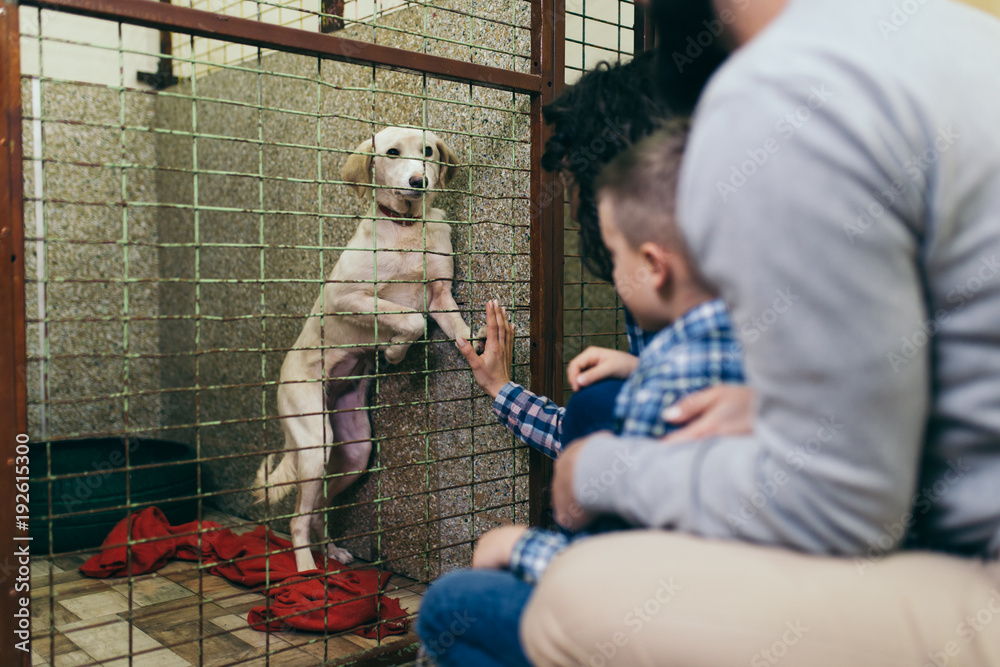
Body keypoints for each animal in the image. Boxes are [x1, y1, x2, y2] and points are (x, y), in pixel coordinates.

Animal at [250, 128, 484, 572]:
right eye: (392, 153)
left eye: (427, 152)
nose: (418, 181)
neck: (406, 227)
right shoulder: (347, 297)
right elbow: (410, 320)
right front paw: (393, 353)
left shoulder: (440, 295)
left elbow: (455, 328)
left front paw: (479, 350)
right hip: (315, 442)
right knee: (297, 520)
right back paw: (307, 570)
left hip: (355, 451)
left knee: (319, 508)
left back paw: (334, 552)